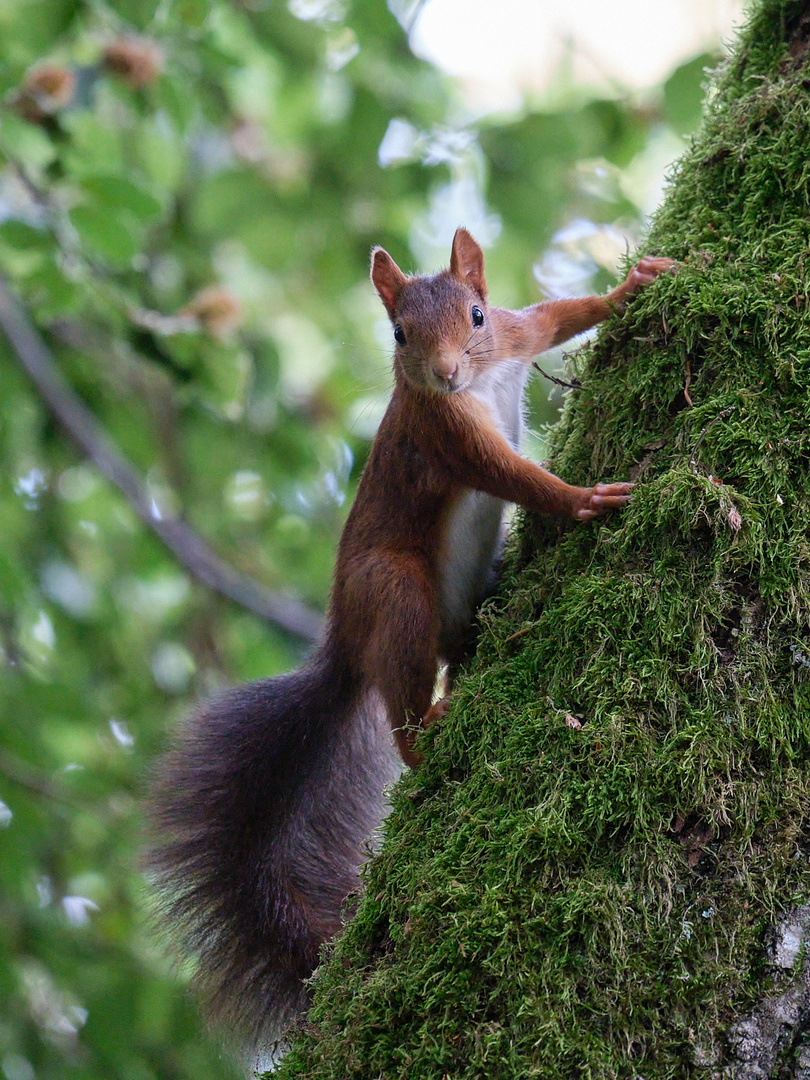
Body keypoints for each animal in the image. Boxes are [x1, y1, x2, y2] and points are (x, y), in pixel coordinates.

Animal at [149, 232, 673, 1049]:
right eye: (399, 335)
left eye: (477, 314)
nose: (446, 372)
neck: (481, 380)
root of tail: (343, 643)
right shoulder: (445, 434)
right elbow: (516, 477)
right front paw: (583, 498)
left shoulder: (516, 338)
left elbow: (556, 317)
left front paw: (633, 285)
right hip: (394, 591)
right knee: (403, 713)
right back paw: (428, 727)